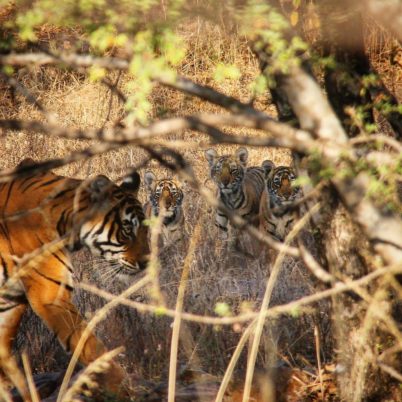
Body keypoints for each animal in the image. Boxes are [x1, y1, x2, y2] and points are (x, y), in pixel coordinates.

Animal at [0, 159, 150, 400]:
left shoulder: (11, 302)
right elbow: (90, 345)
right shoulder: (51, 296)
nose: (146, 262)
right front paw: (124, 388)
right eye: (127, 230)